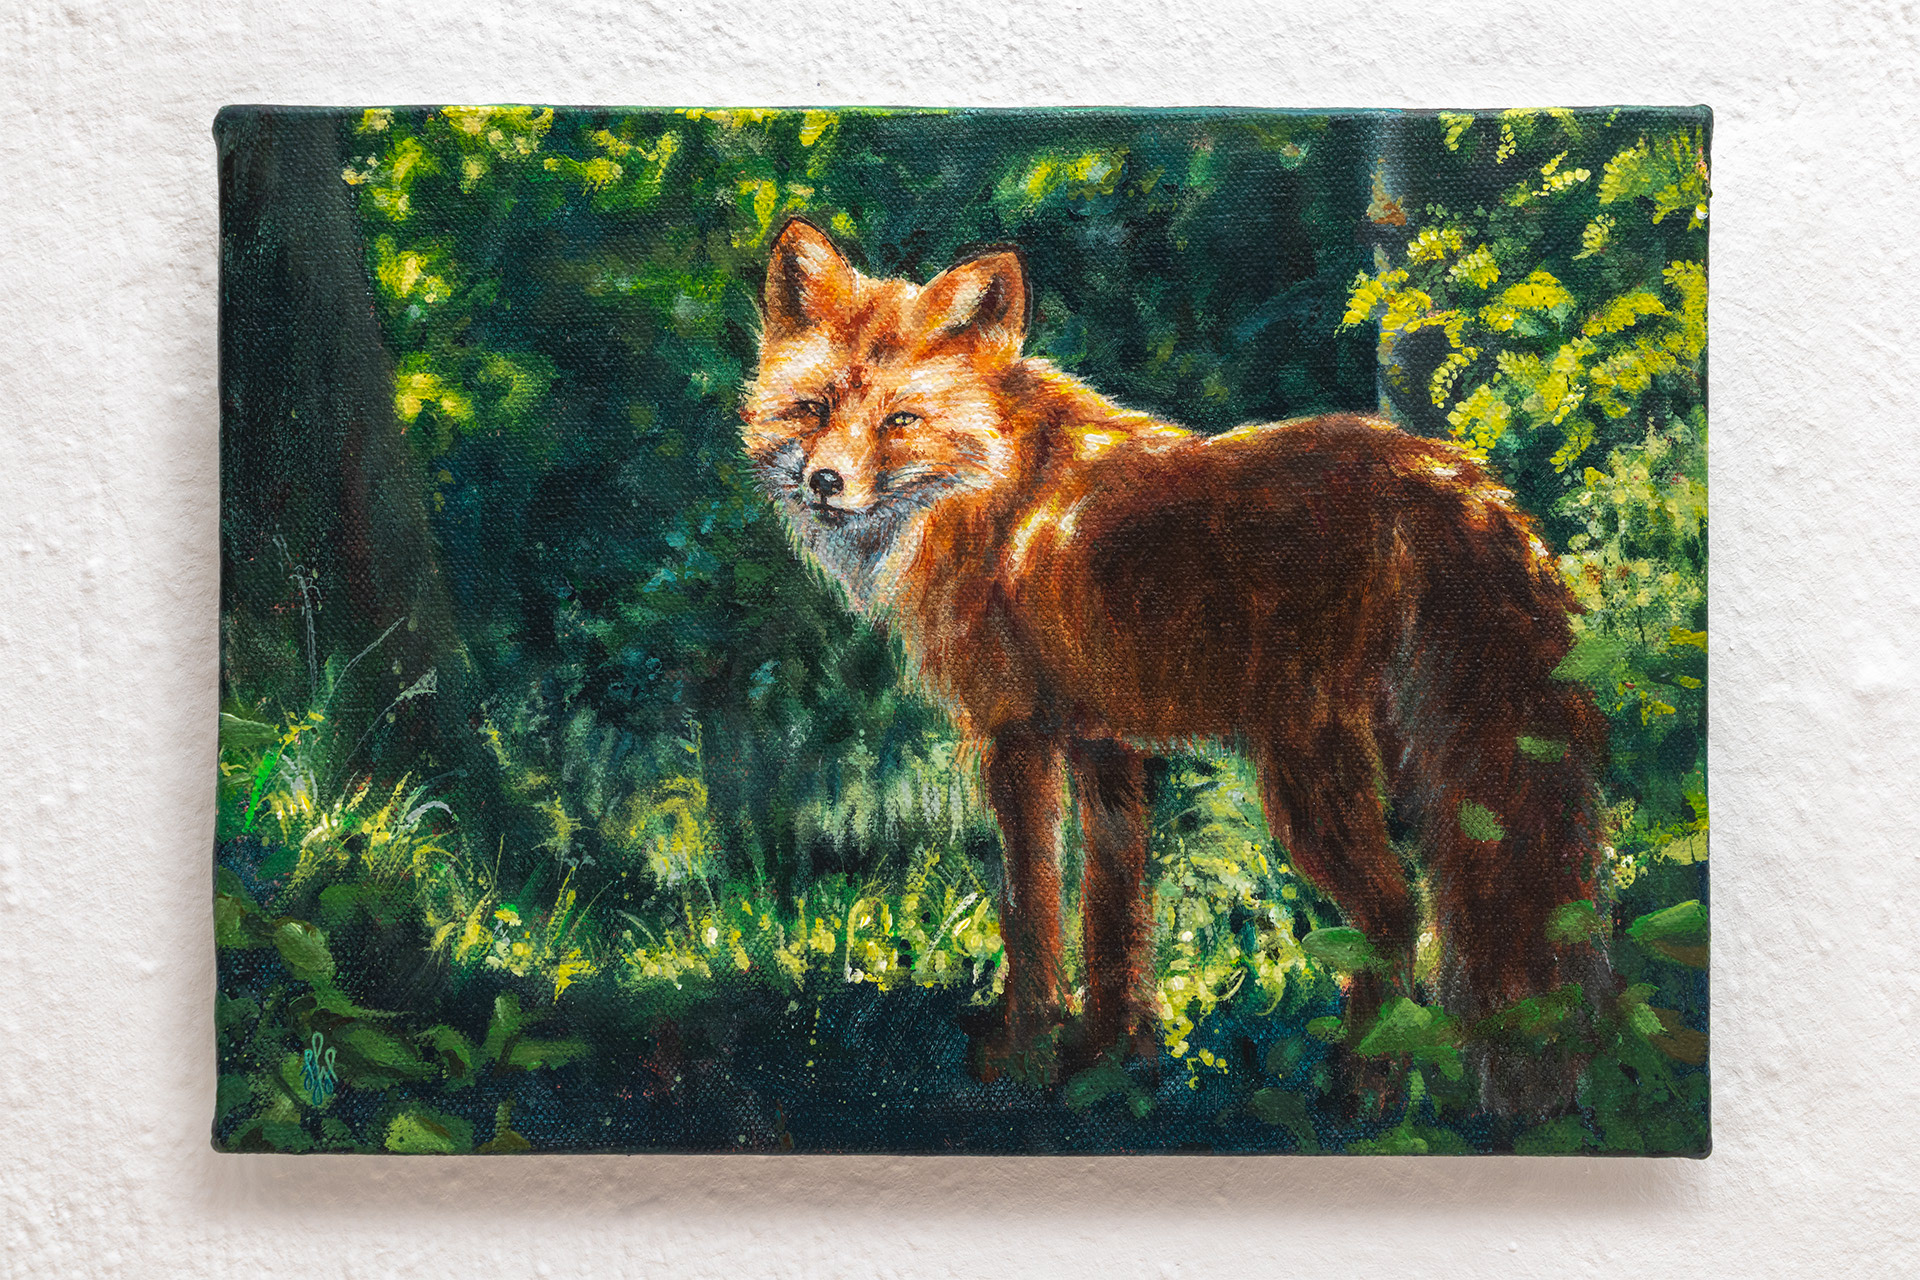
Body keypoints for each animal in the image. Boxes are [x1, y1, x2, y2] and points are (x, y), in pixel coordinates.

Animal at [740, 218, 1612, 1114]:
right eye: (813, 408)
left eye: (901, 420)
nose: (824, 482)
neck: (995, 493)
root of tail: (1457, 482)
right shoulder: (1104, 742)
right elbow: (1114, 914)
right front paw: (1111, 1059)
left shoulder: (1017, 732)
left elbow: (1029, 909)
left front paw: (1022, 1057)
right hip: (1418, 758)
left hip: (1304, 763)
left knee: (1393, 908)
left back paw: (1359, 1093)